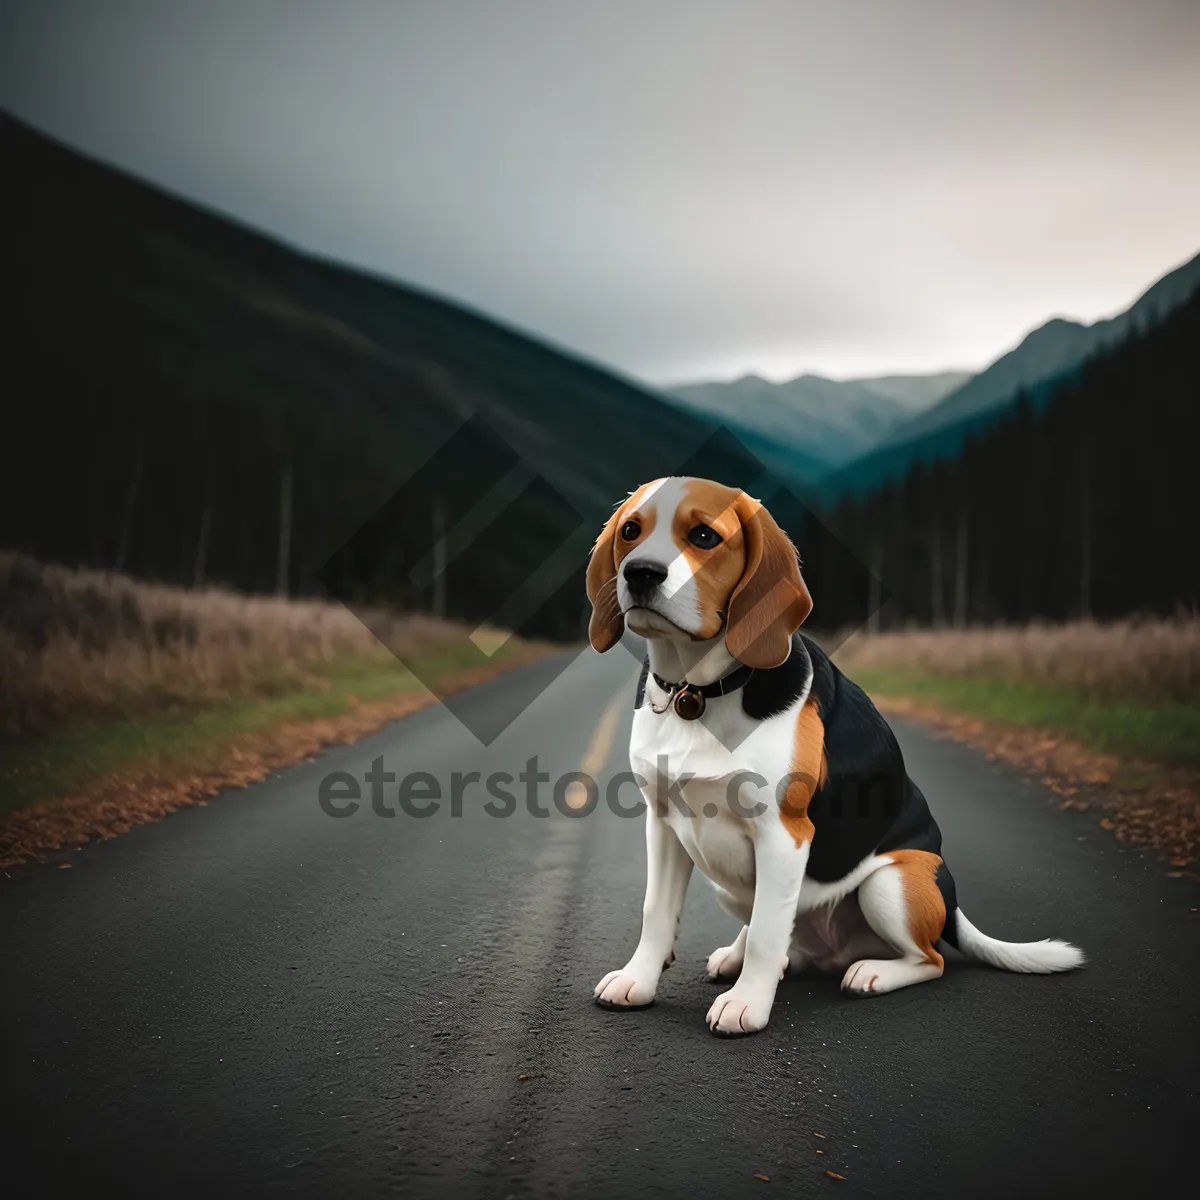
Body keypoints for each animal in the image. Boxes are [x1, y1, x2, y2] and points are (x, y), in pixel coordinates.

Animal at [585, 472, 1084, 1036]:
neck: (697, 694)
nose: (640, 573)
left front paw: (746, 1004)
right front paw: (638, 980)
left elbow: (767, 931)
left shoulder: (784, 834)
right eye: (631, 530)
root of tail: (951, 907)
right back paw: (743, 956)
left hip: (892, 881)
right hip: (731, 885)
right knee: (778, 934)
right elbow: (657, 913)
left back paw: (871, 973)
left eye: (705, 537)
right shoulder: (664, 823)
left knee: (928, 960)